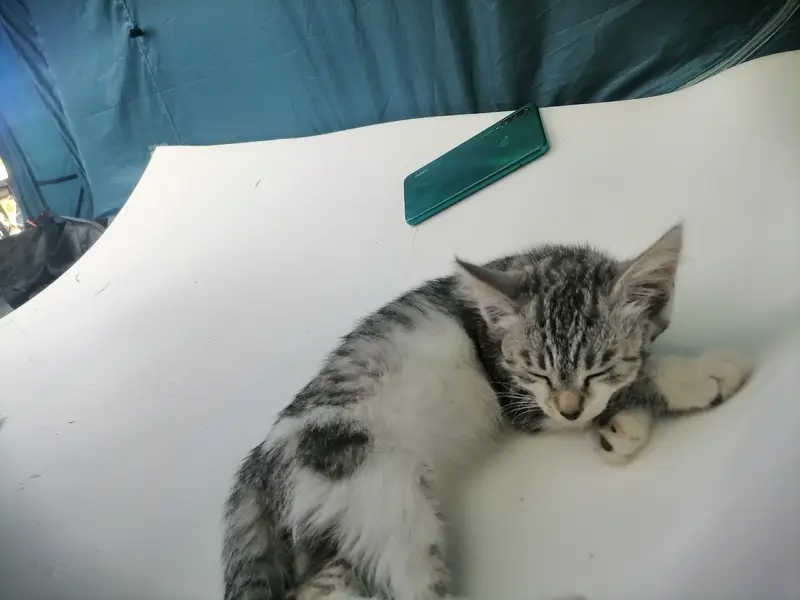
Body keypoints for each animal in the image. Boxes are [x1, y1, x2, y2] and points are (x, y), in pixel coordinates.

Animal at [222, 224, 750, 600]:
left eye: (598, 369)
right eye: (535, 372)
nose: (572, 411)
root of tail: (257, 462)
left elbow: (620, 393)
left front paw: (620, 427)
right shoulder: (517, 397)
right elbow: (636, 382)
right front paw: (699, 374)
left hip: (346, 524)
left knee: (319, 586)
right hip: (378, 493)